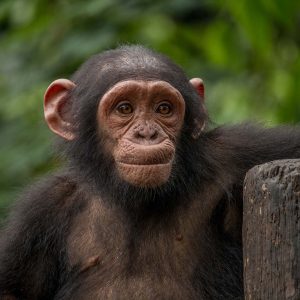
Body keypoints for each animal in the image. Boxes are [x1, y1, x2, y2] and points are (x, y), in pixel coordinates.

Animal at [0, 45, 300, 300]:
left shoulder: (242, 152)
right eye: (124, 108)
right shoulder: (40, 210)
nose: (147, 133)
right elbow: (13, 290)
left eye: (163, 108)